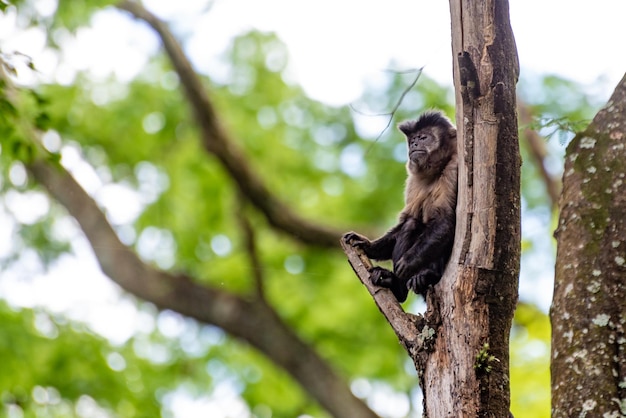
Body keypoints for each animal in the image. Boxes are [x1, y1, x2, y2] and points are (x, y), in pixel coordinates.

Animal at [344, 110, 456, 300]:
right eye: (412, 141)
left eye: (423, 137)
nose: (415, 144)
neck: (435, 172)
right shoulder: (412, 182)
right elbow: (407, 219)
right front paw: (367, 246)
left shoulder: (454, 168)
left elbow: (446, 220)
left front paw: (408, 262)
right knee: (411, 224)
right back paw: (397, 287)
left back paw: (427, 276)